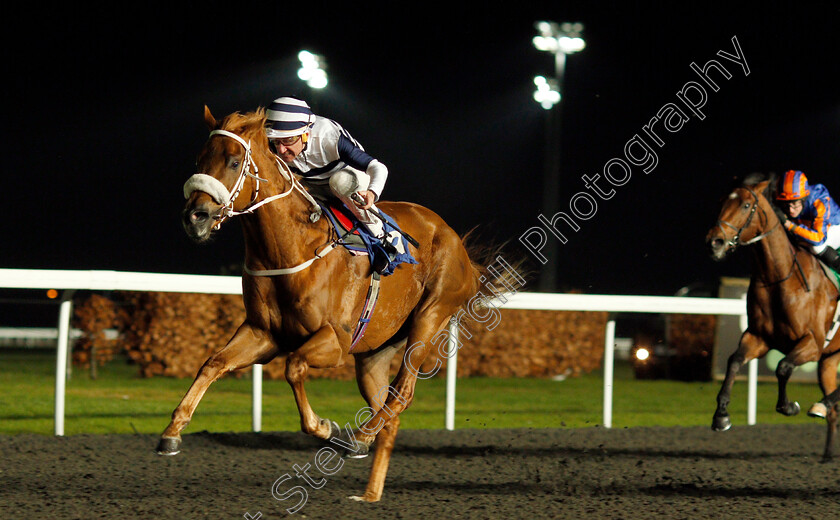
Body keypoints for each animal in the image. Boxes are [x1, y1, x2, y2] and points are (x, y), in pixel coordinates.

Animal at [157, 107, 512, 502]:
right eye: (200, 159)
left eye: (234, 161)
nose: (195, 217)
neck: (291, 247)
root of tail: (455, 239)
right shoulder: (263, 334)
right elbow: (213, 364)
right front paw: (172, 432)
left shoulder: (335, 340)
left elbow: (294, 367)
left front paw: (325, 427)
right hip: (374, 353)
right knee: (388, 411)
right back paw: (369, 489)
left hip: (430, 315)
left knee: (402, 393)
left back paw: (358, 438)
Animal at [708, 174, 840, 460]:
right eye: (721, 201)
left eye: (746, 205)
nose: (714, 242)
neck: (780, 279)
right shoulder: (758, 337)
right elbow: (734, 361)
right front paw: (721, 415)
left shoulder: (812, 343)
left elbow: (783, 367)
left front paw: (789, 406)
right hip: (829, 359)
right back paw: (826, 447)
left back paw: (821, 404)